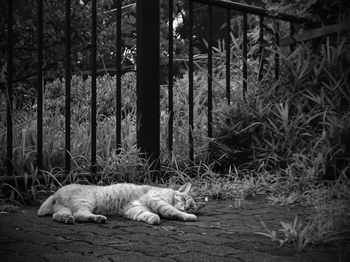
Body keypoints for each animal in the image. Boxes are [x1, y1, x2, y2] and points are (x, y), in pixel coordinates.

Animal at [37, 182, 202, 225]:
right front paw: (188, 216)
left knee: (59, 216)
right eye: (185, 200)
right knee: (79, 214)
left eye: (192, 206)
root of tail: (55, 193)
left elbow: (146, 214)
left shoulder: (135, 209)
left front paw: (152, 218)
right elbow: (172, 211)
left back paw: (67, 219)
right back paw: (98, 218)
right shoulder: (156, 200)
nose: (187, 207)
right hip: (86, 200)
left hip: (64, 209)